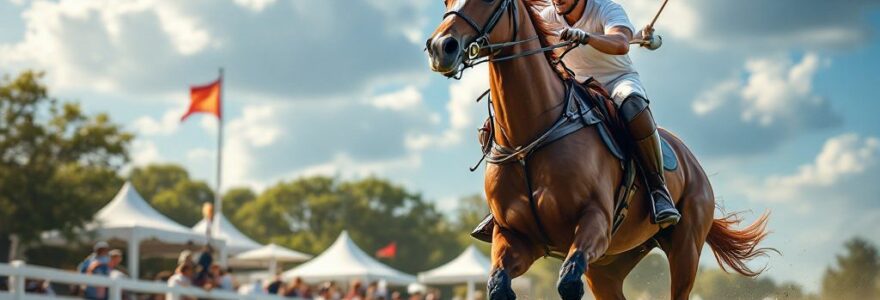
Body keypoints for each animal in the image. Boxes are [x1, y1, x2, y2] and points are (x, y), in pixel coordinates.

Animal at [426, 0, 776, 300]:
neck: (529, 138)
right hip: (611, 262)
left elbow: (568, 282)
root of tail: (693, 162)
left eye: (489, 0)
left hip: (685, 246)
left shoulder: (595, 221)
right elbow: (498, 284)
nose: (441, 47)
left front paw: (577, 35)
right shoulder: (516, 237)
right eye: (446, 2)